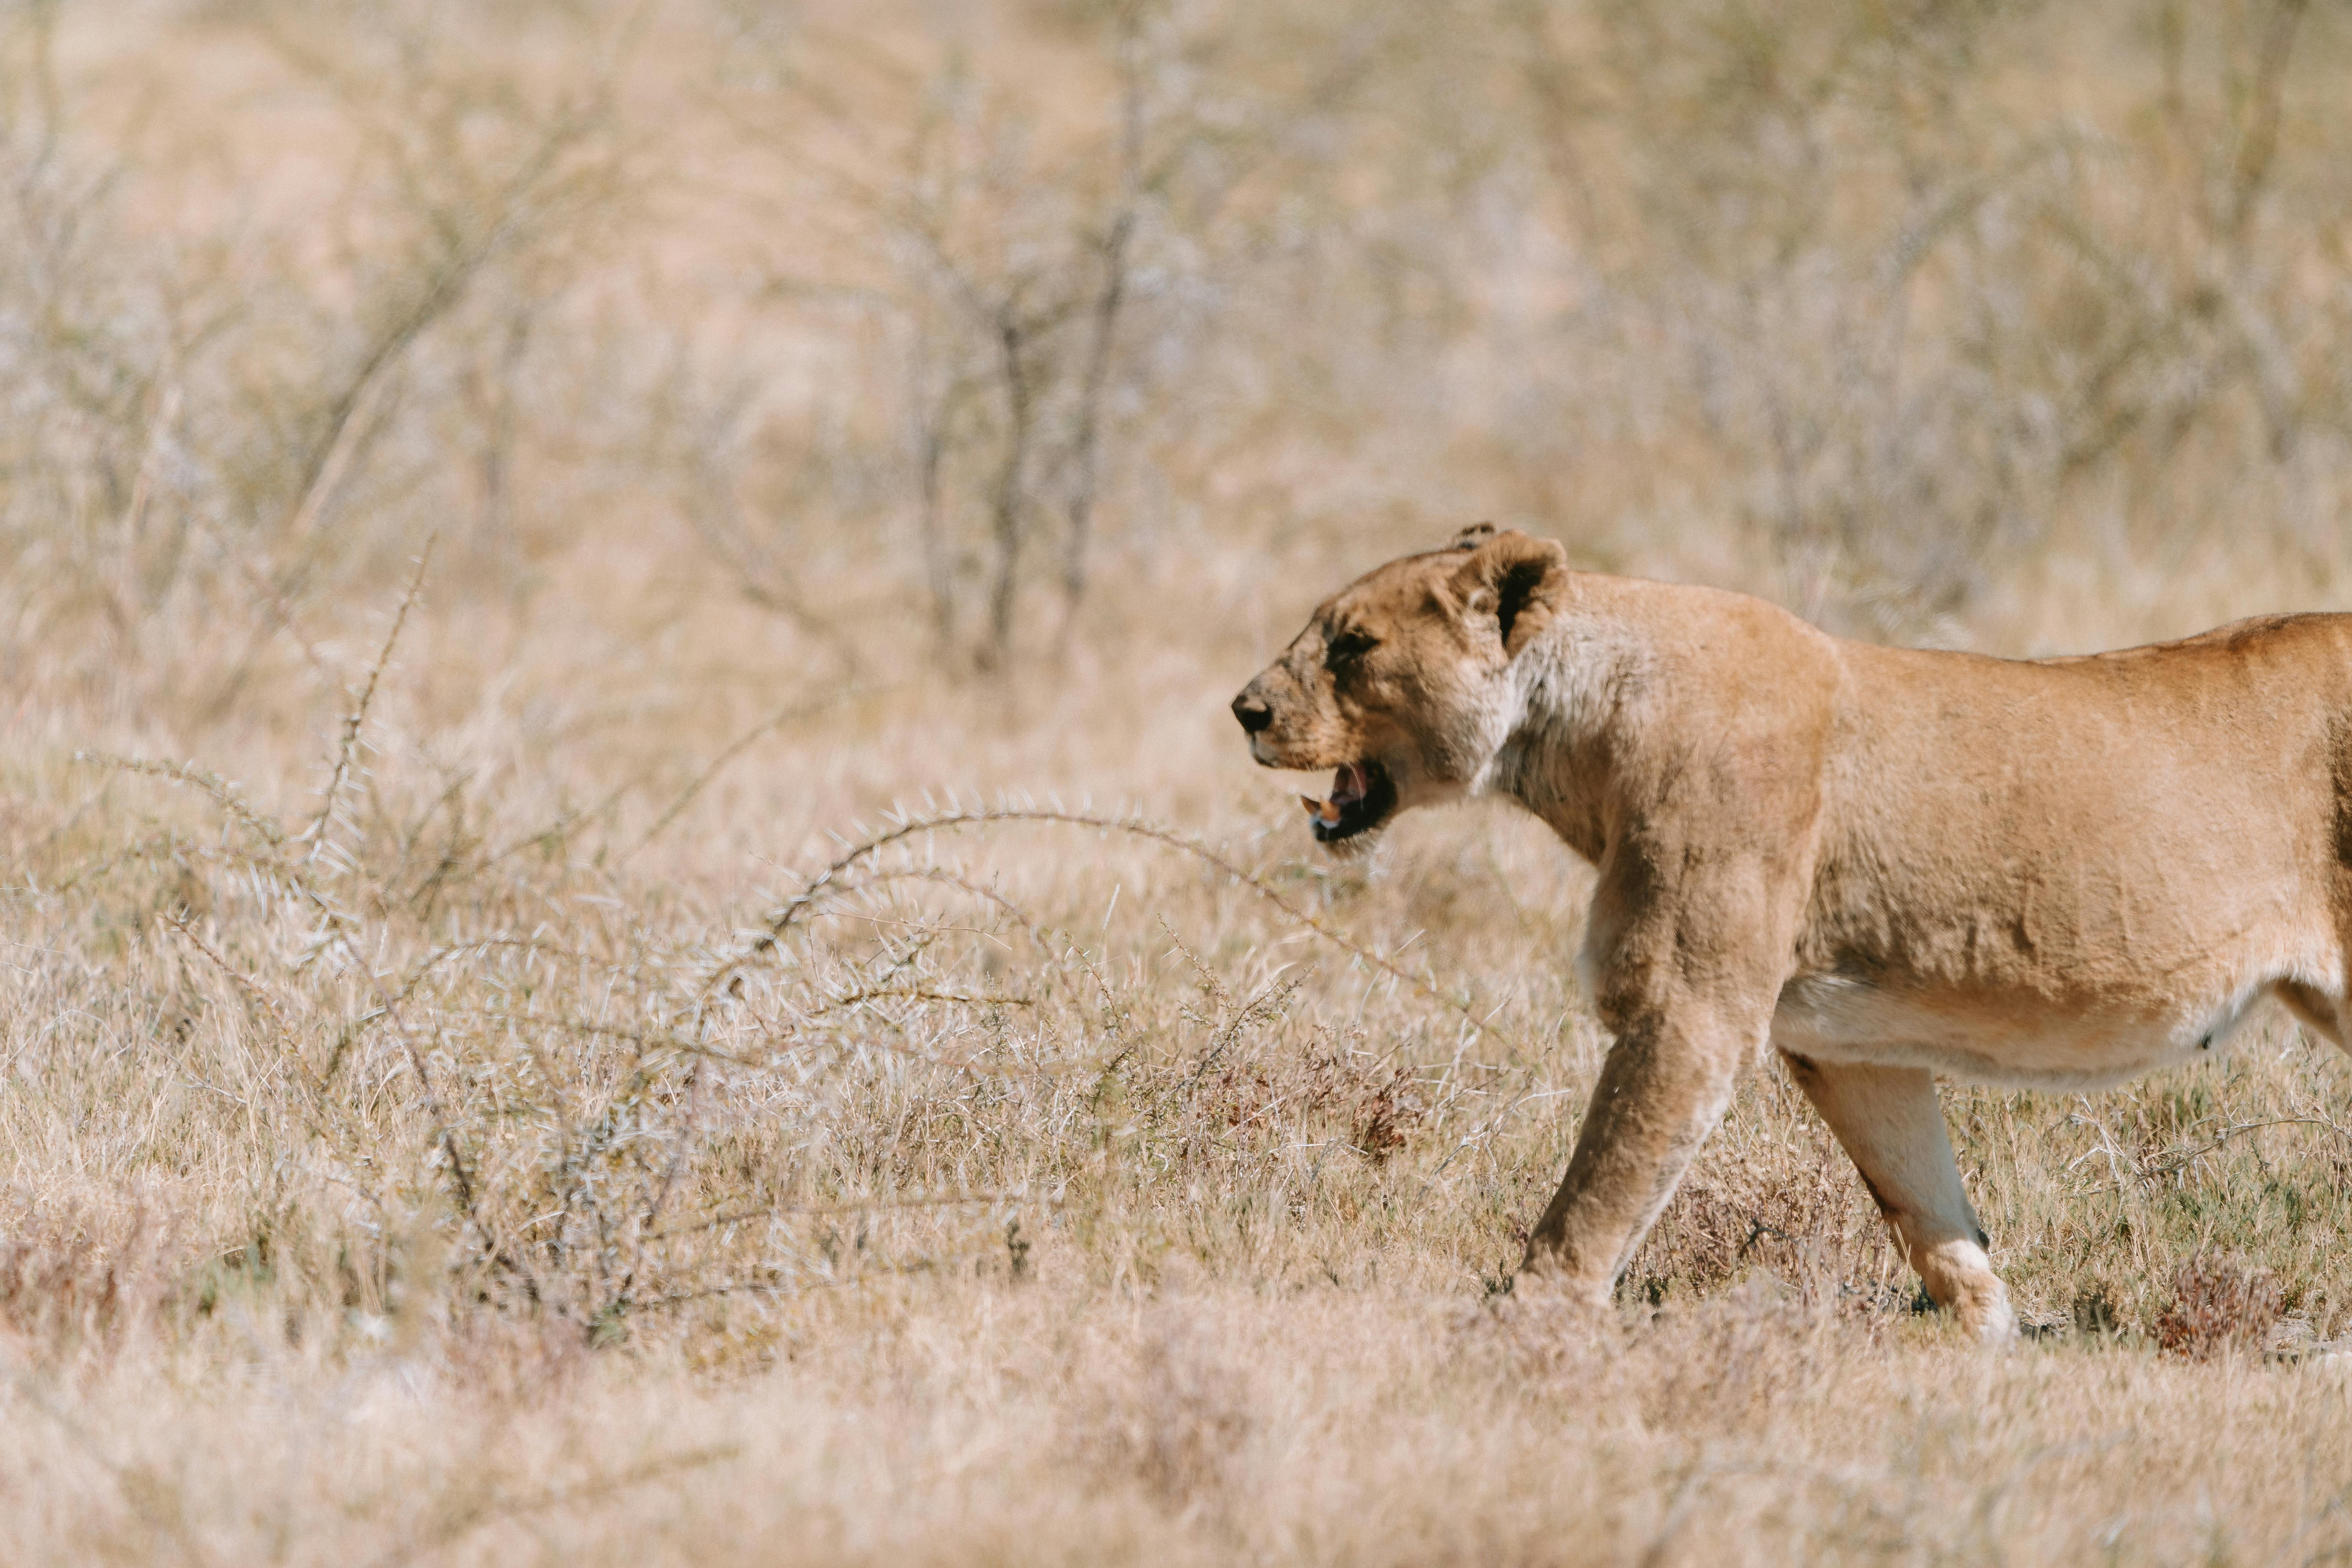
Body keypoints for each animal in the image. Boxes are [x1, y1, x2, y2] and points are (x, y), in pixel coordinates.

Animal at [1231, 523, 2352, 1340]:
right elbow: (1925, 1202)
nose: (1244, 709)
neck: (1582, 733)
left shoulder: (1690, 1008)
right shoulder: (1848, 1044)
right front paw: (1989, 1339)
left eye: (1352, 645)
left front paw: (1521, 1330)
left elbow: (1598, 1192)